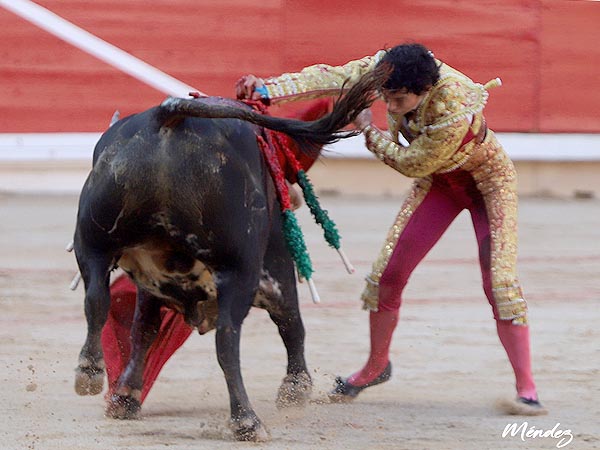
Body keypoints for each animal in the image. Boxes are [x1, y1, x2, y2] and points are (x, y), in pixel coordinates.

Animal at [72, 72, 384, 442]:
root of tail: (167, 116)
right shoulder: (277, 269)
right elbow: (292, 324)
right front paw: (296, 389)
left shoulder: (149, 285)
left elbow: (143, 331)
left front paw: (126, 397)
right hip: (240, 269)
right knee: (228, 339)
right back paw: (247, 420)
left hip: (92, 243)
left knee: (96, 300)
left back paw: (90, 371)